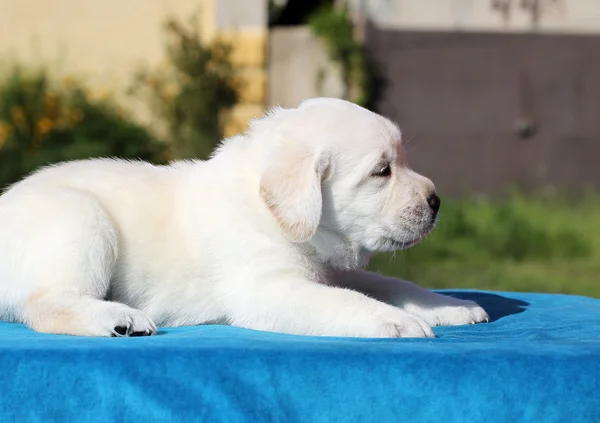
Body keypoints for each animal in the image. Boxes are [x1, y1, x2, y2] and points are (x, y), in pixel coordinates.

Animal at [0, 97, 488, 338]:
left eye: (401, 160)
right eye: (382, 171)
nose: (436, 201)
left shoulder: (333, 270)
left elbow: (391, 285)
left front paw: (450, 306)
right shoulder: (269, 288)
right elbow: (346, 302)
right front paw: (398, 322)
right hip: (81, 219)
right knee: (43, 305)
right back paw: (117, 319)